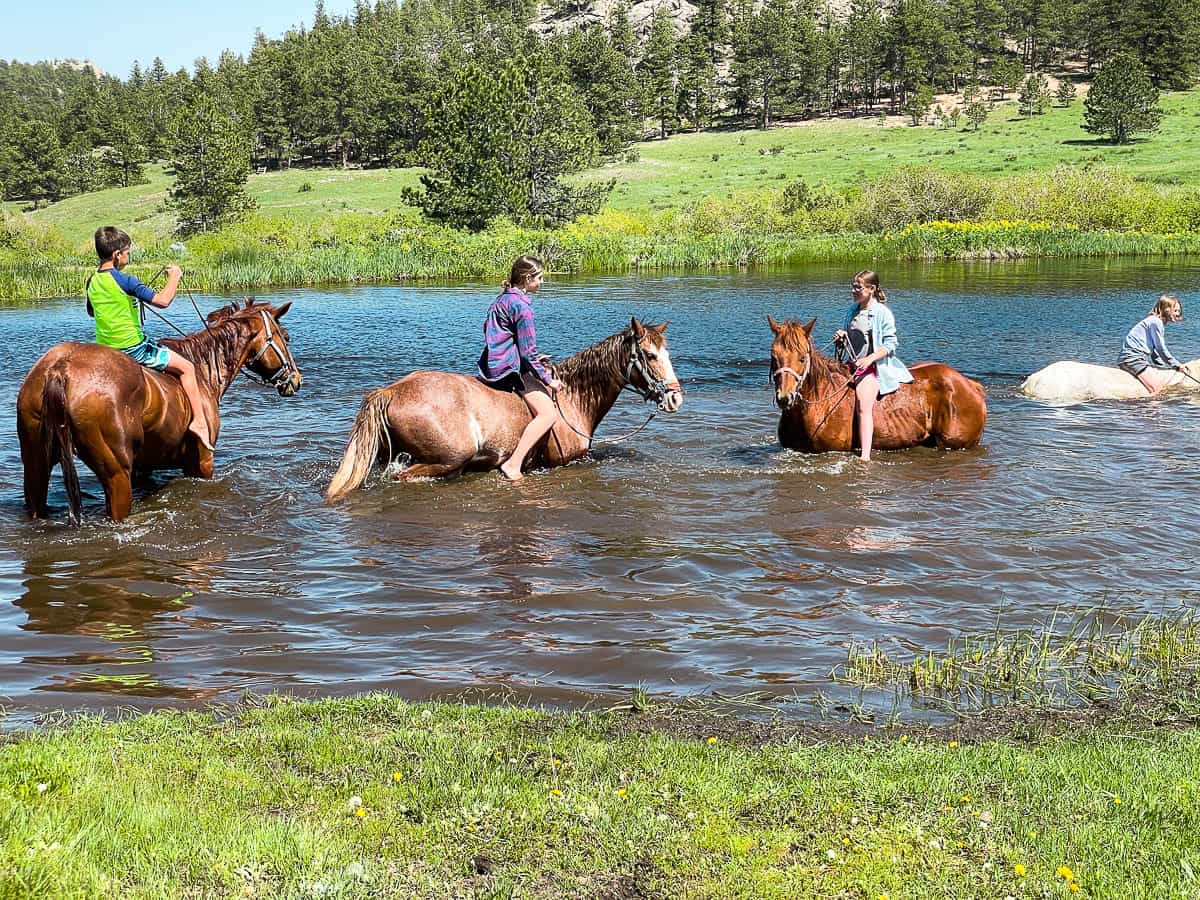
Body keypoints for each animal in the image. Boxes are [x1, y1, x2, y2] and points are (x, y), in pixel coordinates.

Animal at [17, 300, 300, 525]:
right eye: (286, 337)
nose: (296, 379)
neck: (203, 369)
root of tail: (60, 368)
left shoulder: (144, 468)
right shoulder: (202, 462)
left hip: (35, 463)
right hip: (116, 475)